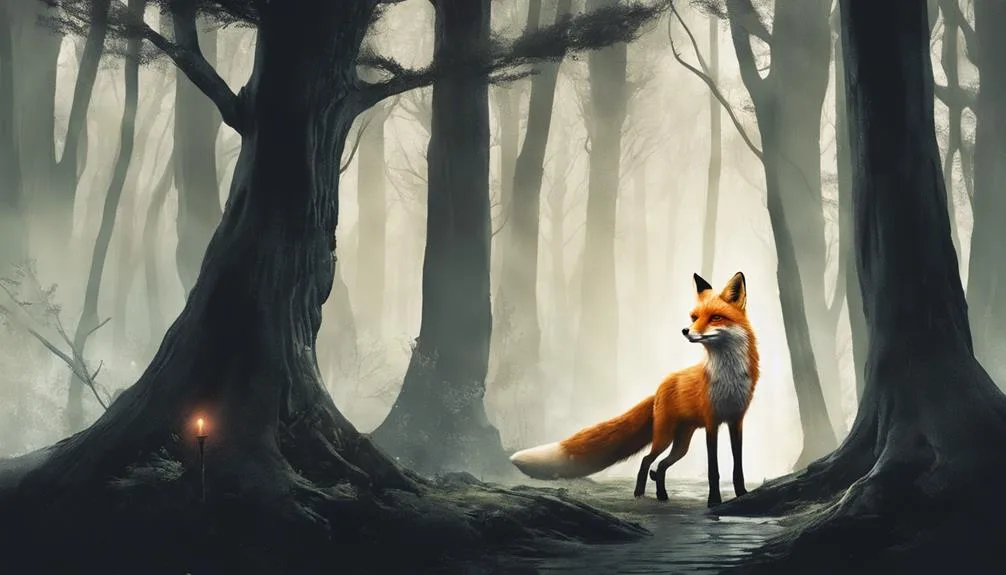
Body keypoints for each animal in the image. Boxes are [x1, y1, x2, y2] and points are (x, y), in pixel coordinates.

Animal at [510, 271, 758, 507]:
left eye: (716, 317)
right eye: (694, 317)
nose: (686, 330)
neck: (728, 377)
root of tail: (660, 386)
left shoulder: (736, 421)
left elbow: (737, 466)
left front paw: (742, 494)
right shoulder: (711, 423)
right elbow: (713, 471)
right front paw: (714, 501)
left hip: (681, 443)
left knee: (660, 465)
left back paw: (661, 494)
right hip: (665, 437)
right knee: (648, 460)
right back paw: (640, 493)